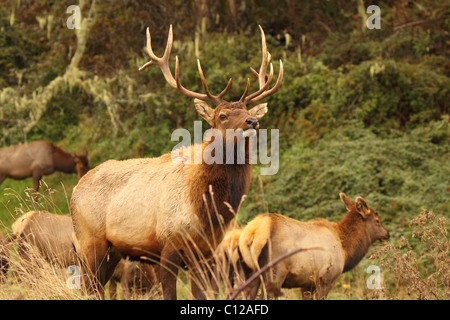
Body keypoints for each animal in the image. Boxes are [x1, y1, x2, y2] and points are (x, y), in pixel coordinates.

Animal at [69, 25, 284, 300]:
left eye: (247, 111)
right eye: (222, 115)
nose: (253, 122)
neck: (207, 213)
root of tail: (75, 188)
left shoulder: (206, 253)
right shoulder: (168, 243)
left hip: (112, 250)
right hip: (88, 241)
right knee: (88, 287)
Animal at [239, 192, 390, 300]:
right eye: (377, 220)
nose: (387, 234)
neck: (345, 251)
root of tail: (252, 232)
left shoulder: (307, 284)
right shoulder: (326, 279)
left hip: (248, 273)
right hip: (275, 272)